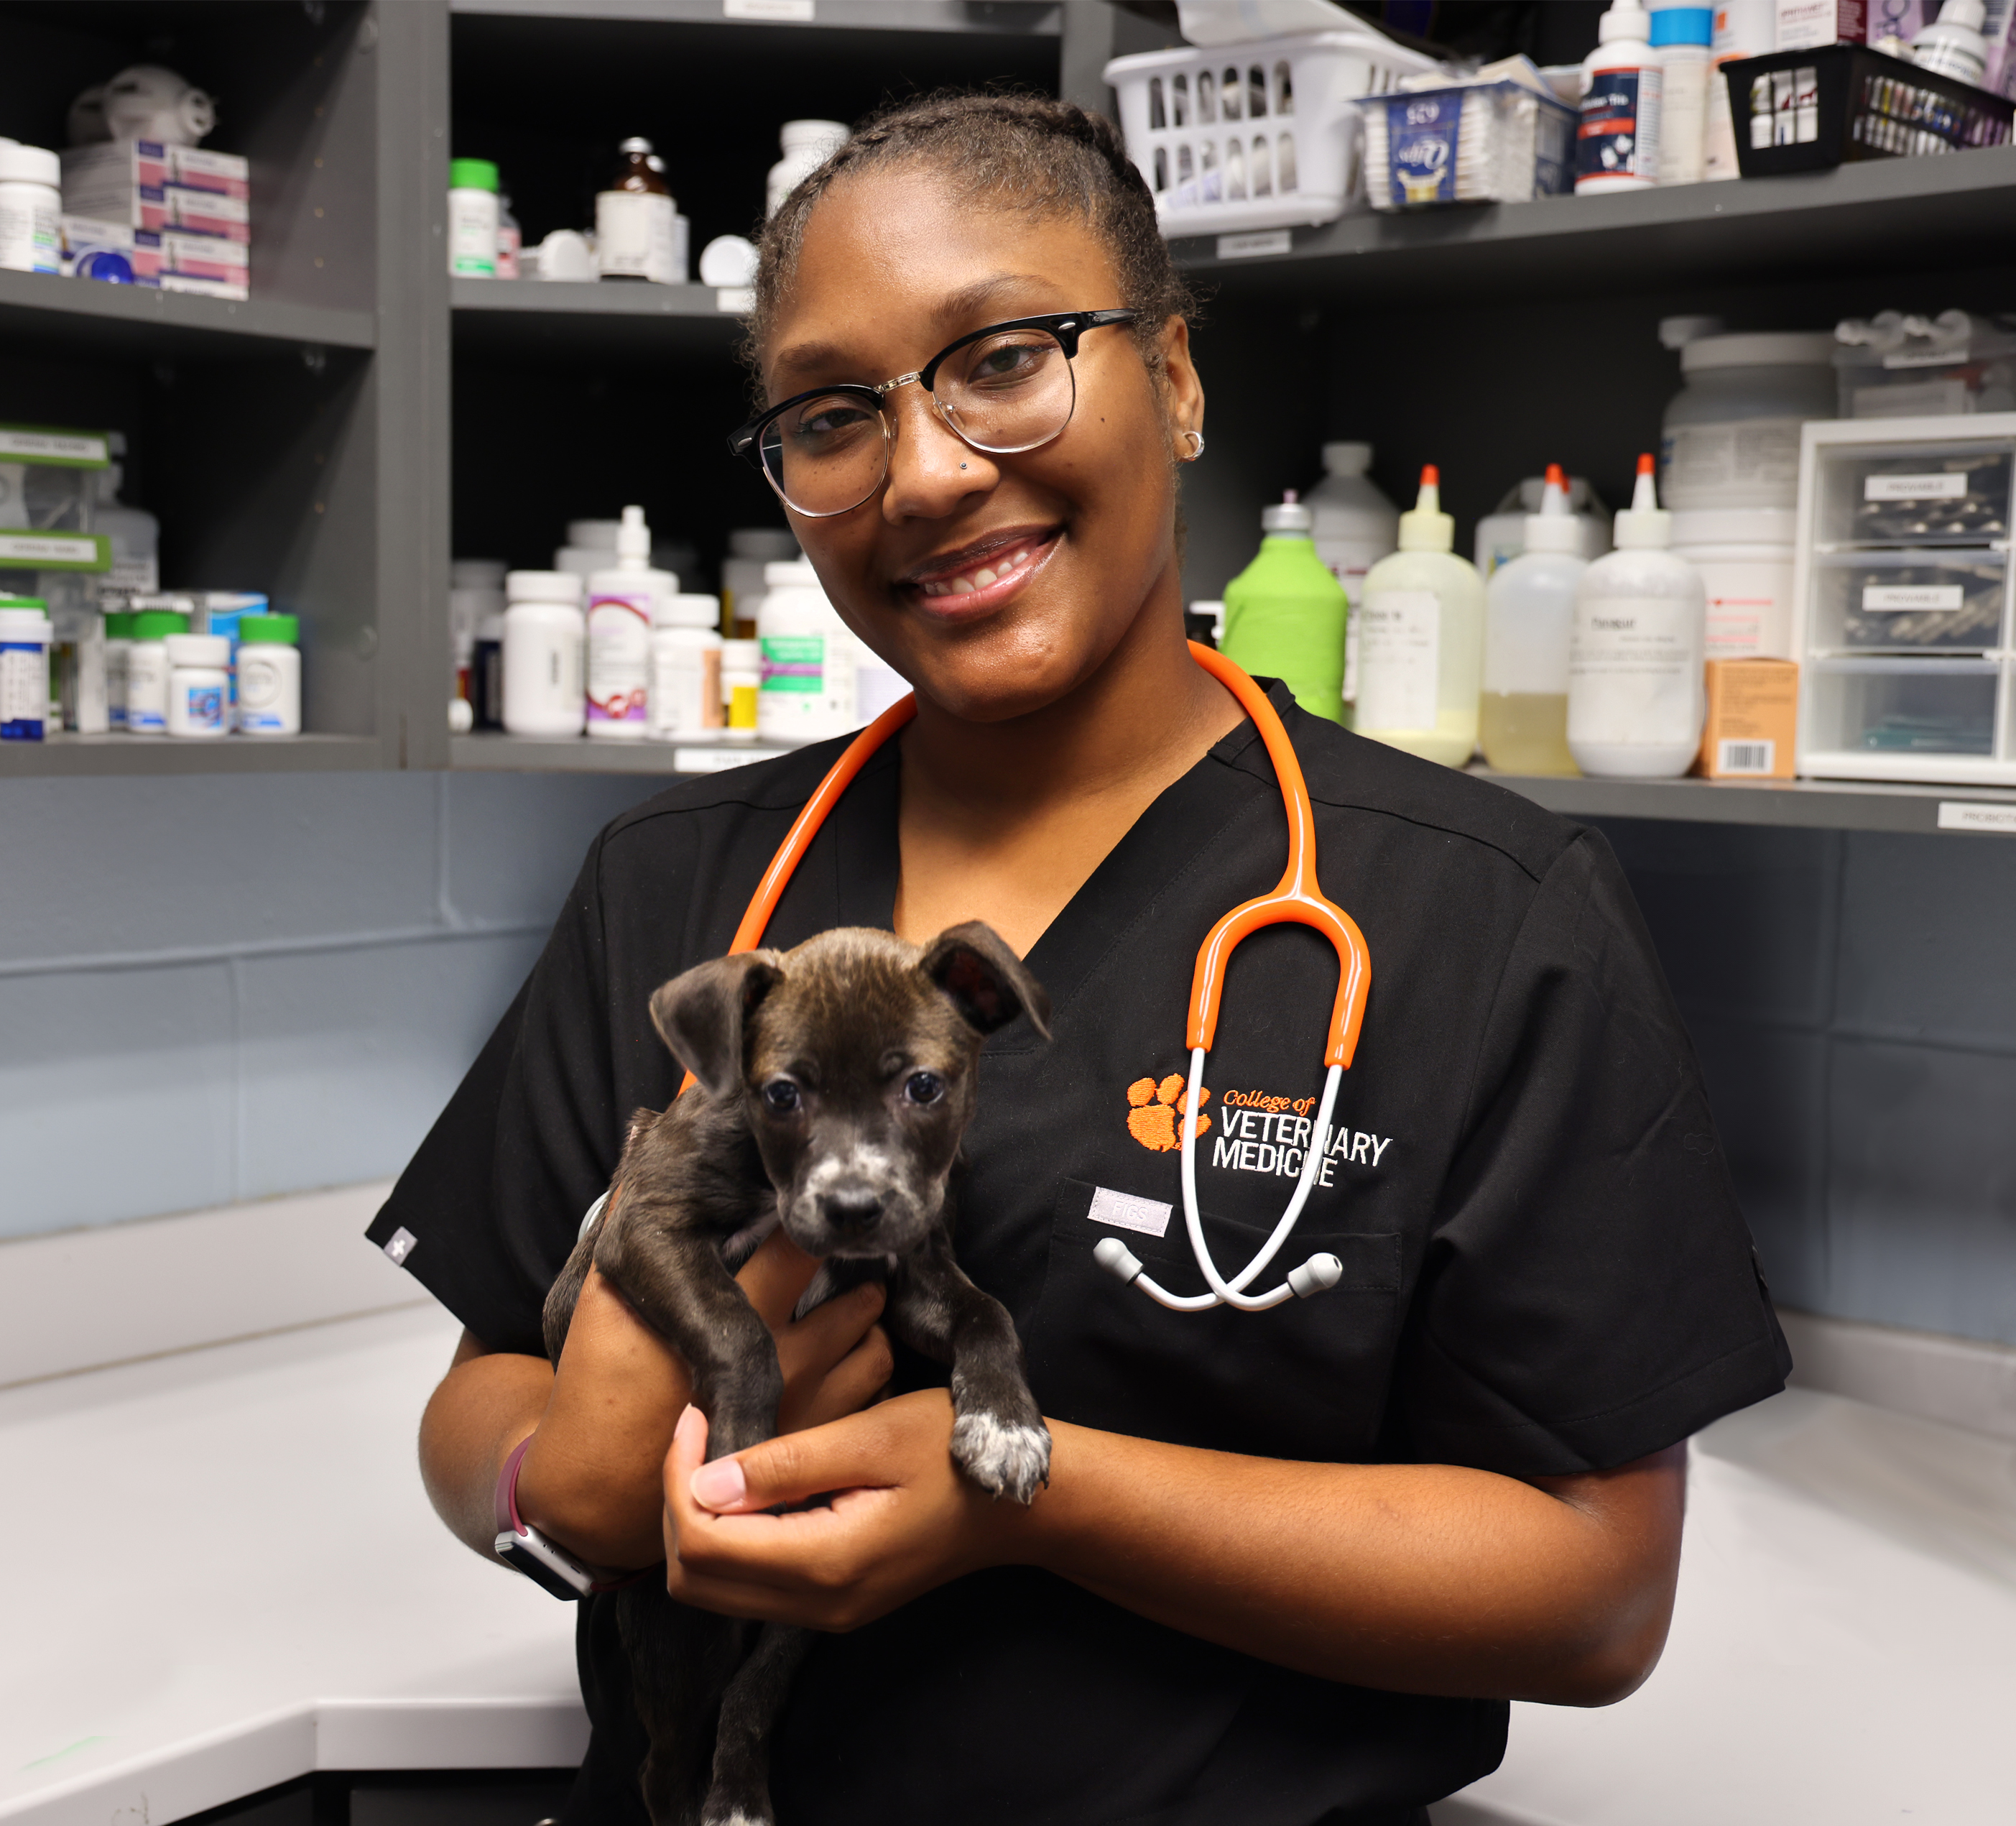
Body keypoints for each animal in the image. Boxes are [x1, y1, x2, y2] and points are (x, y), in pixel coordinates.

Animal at [548, 927, 1056, 1822]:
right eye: (781, 1095)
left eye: (923, 1087)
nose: (853, 1207)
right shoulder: (642, 1225)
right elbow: (741, 1333)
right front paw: (736, 1451)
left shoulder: (911, 1271)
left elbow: (987, 1312)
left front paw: (1005, 1424)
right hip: (684, 1631)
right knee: (659, 1768)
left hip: (798, 1613)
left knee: (752, 1695)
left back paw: (739, 1796)